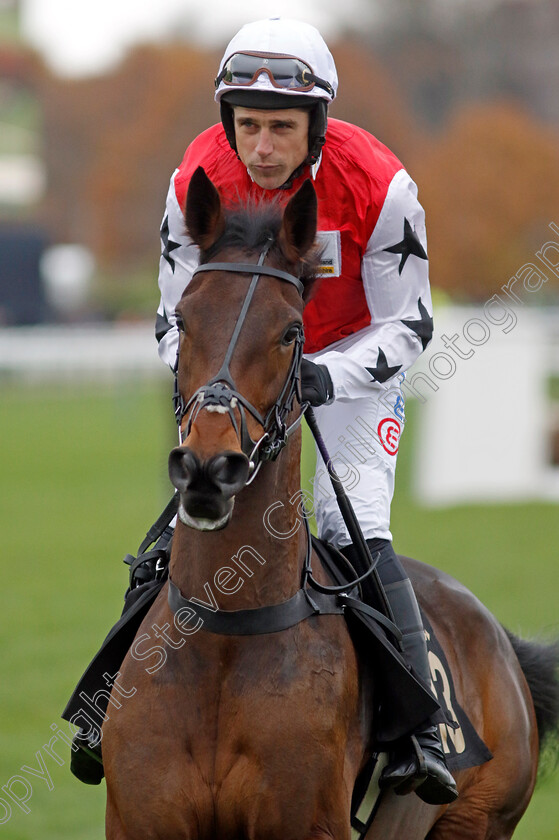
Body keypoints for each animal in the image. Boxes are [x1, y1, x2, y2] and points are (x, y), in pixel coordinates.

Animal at [103, 167, 556, 836]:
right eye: (182, 320)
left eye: (291, 331)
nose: (208, 467)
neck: (226, 631)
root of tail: (503, 641)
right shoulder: (139, 819)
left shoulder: (306, 819)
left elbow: (405, 320)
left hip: (480, 819)